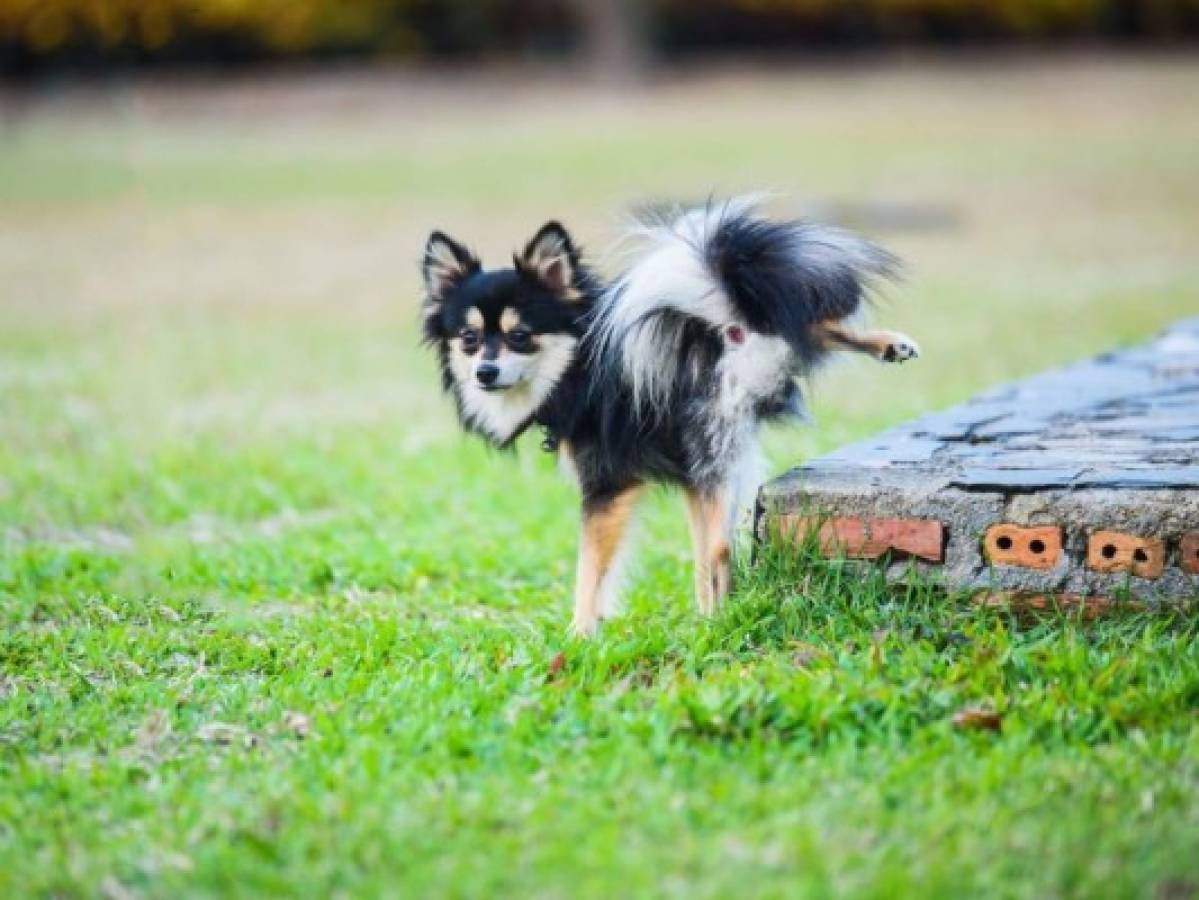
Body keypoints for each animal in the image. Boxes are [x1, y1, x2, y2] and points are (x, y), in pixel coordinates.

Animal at [422, 198, 916, 632]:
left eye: (520, 336)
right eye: (468, 339)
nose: (484, 372)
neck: (577, 364)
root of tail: (726, 327)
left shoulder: (606, 486)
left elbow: (590, 574)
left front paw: (580, 635)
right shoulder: (691, 478)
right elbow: (694, 565)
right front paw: (706, 617)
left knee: (720, 550)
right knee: (802, 323)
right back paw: (891, 344)